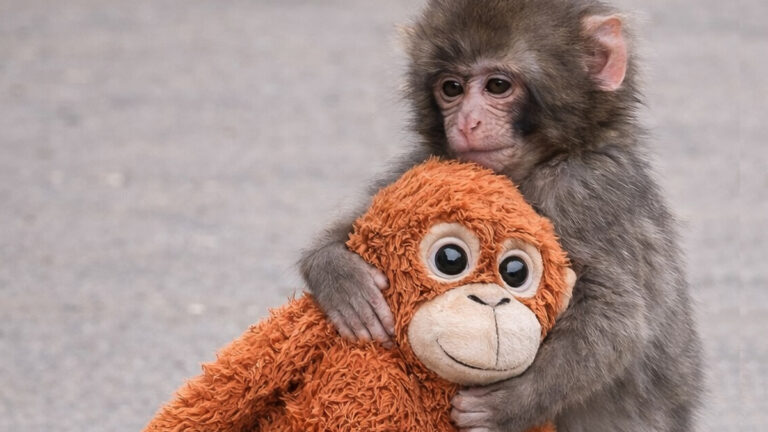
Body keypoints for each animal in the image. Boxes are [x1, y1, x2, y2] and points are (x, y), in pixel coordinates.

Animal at [299, 1, 703, 431]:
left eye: (497, 86)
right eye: (451, 88)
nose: (465, 122)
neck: (538, 163)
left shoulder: (585, 190)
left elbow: (617, 315)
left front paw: (507, 405)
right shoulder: (431, 164)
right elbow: (361, 224)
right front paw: (341, 278)